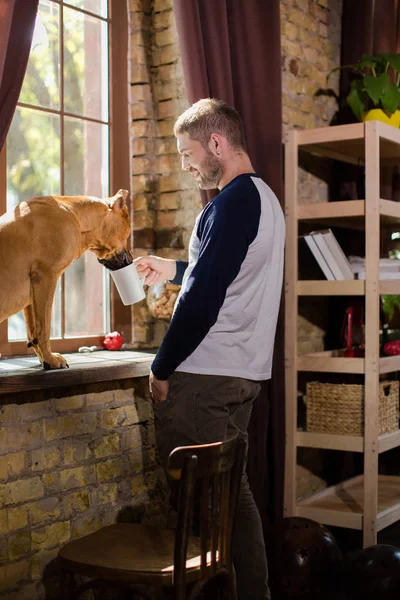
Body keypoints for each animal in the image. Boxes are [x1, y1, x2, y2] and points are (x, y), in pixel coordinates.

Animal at [0, 190, 131, 370]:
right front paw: (50, 359)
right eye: (127, 234)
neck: (74, 214)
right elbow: (43, 329)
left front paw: (45, 359)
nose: (131, 260)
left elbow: (32, 331)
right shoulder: (46, 277)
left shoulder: (32, 290)